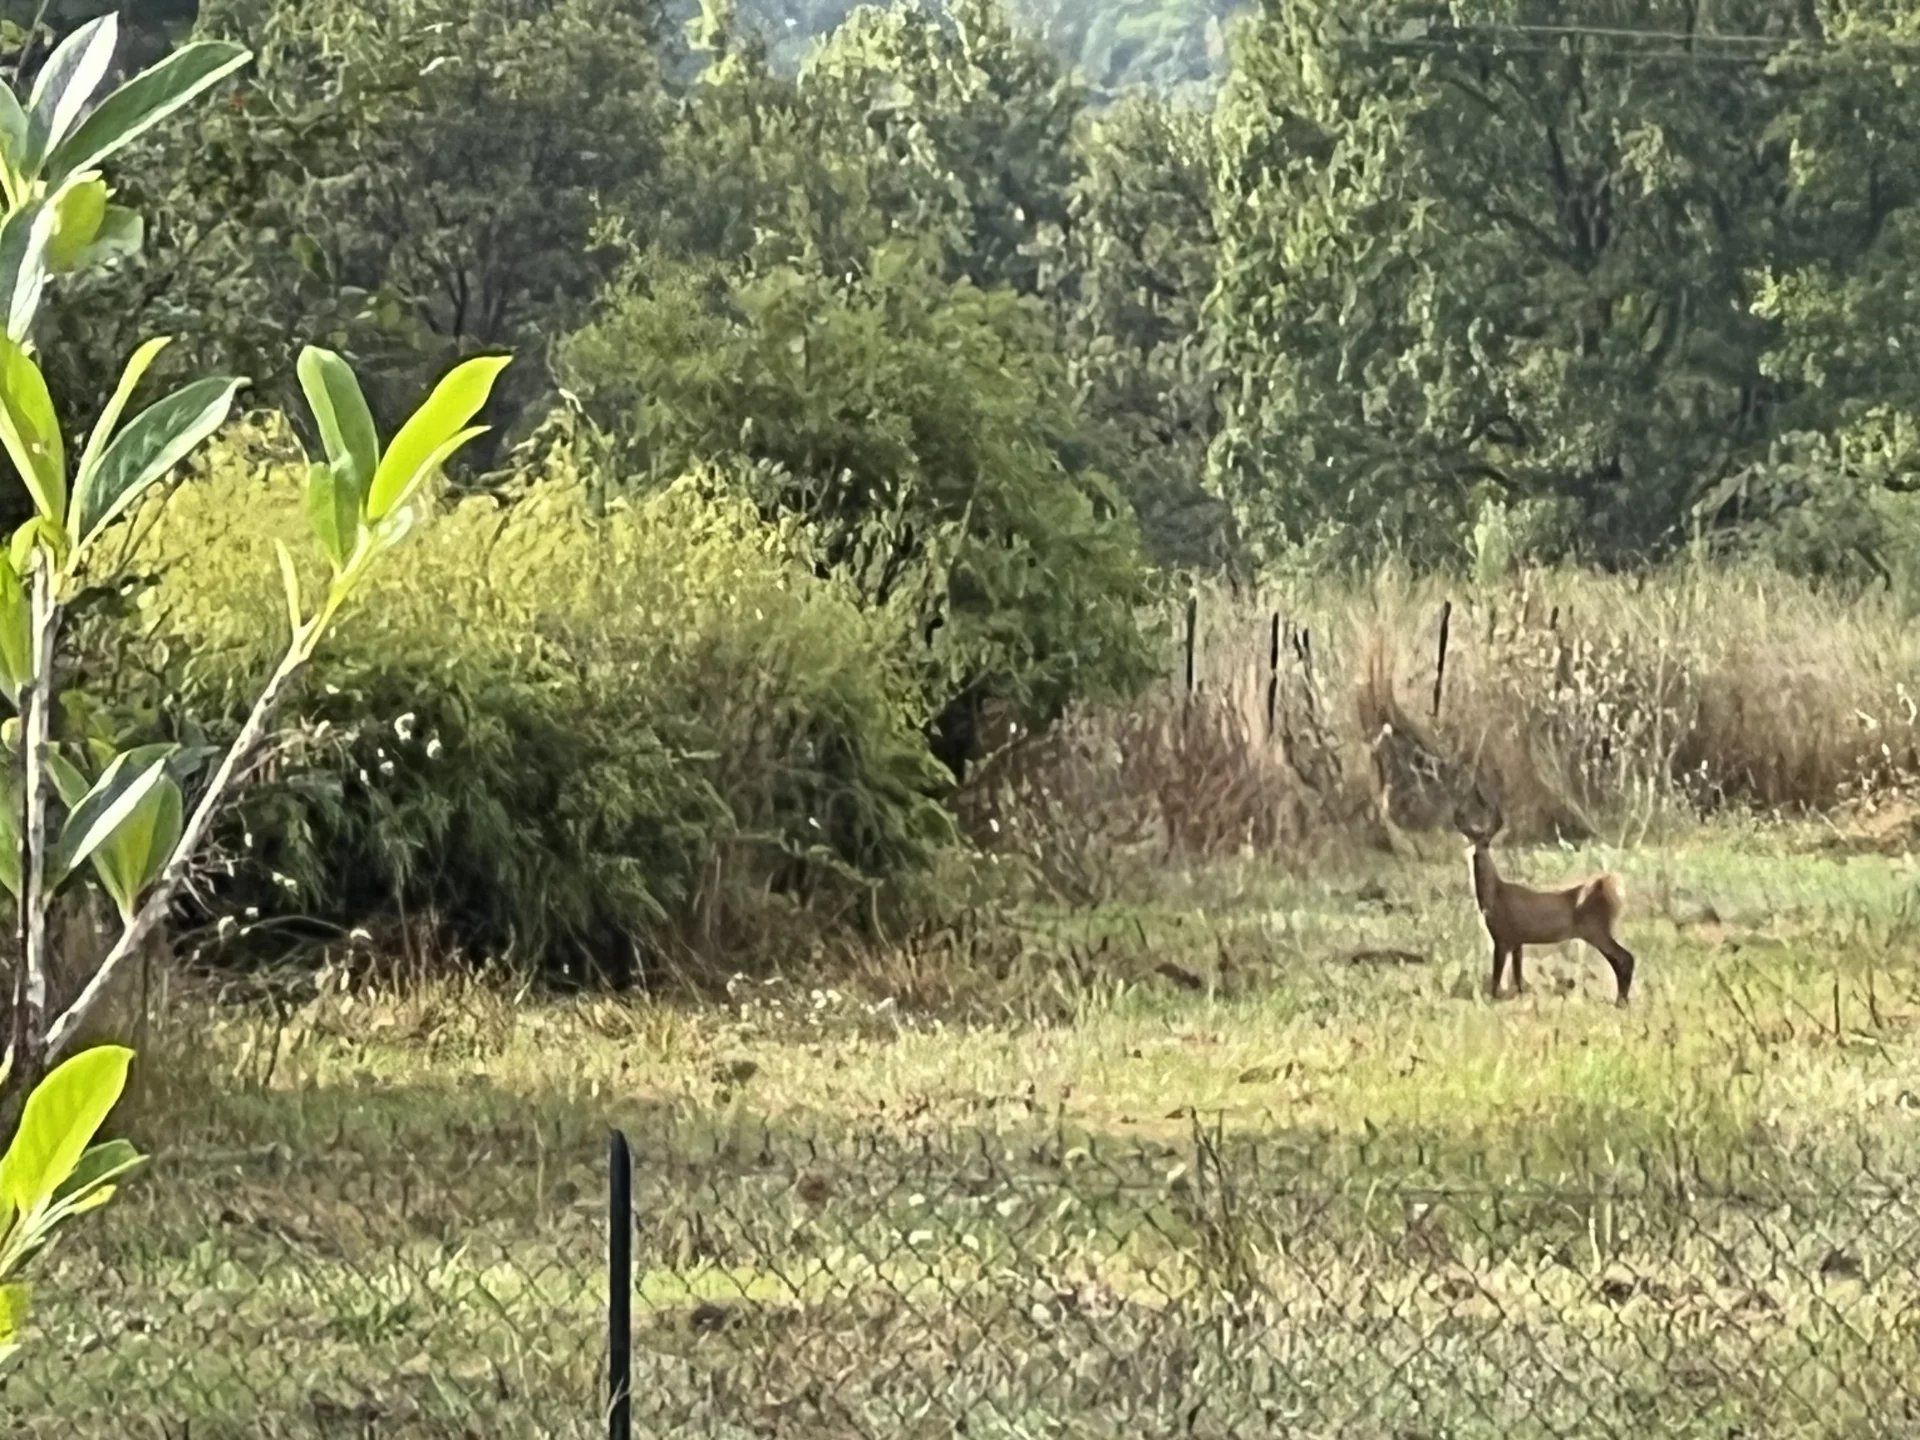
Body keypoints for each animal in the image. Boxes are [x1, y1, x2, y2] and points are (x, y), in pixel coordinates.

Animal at [1451, 794, 1635, 1006]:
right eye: (1473, 847)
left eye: (1487, 844)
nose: (1478, 856)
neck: (1495, 897)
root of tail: (1610, 890)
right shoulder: (1517, 940)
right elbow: (1518, 977)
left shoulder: (1502, 936)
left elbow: (1497, 978)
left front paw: (1493, 1000)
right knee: (1619, 960)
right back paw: (1621, 1000)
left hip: (1595, 930)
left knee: (1625, 958)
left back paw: (1621, 1001)